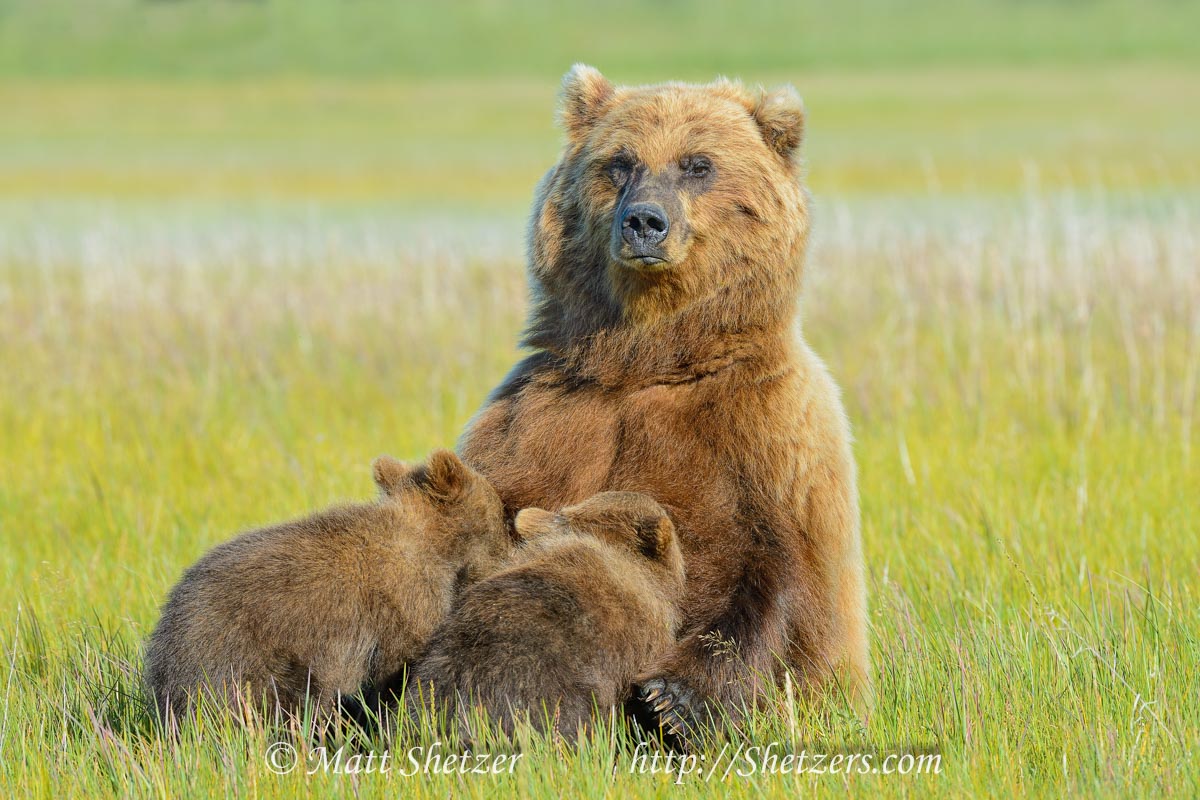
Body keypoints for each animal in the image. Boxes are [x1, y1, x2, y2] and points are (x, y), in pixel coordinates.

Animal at [142, 450, 513, 724]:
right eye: (500, 514)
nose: (512, 546)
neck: (434, 545)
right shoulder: (403, 601)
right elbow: (401, 662)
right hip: (245, 653)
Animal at [453, 64, 868, 743]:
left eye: (697, 164)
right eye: (620, 162)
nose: (645, 222)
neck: (651, 359)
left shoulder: (765, 433)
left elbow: (774, 573)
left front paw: (672, 700)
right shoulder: (544, 417)